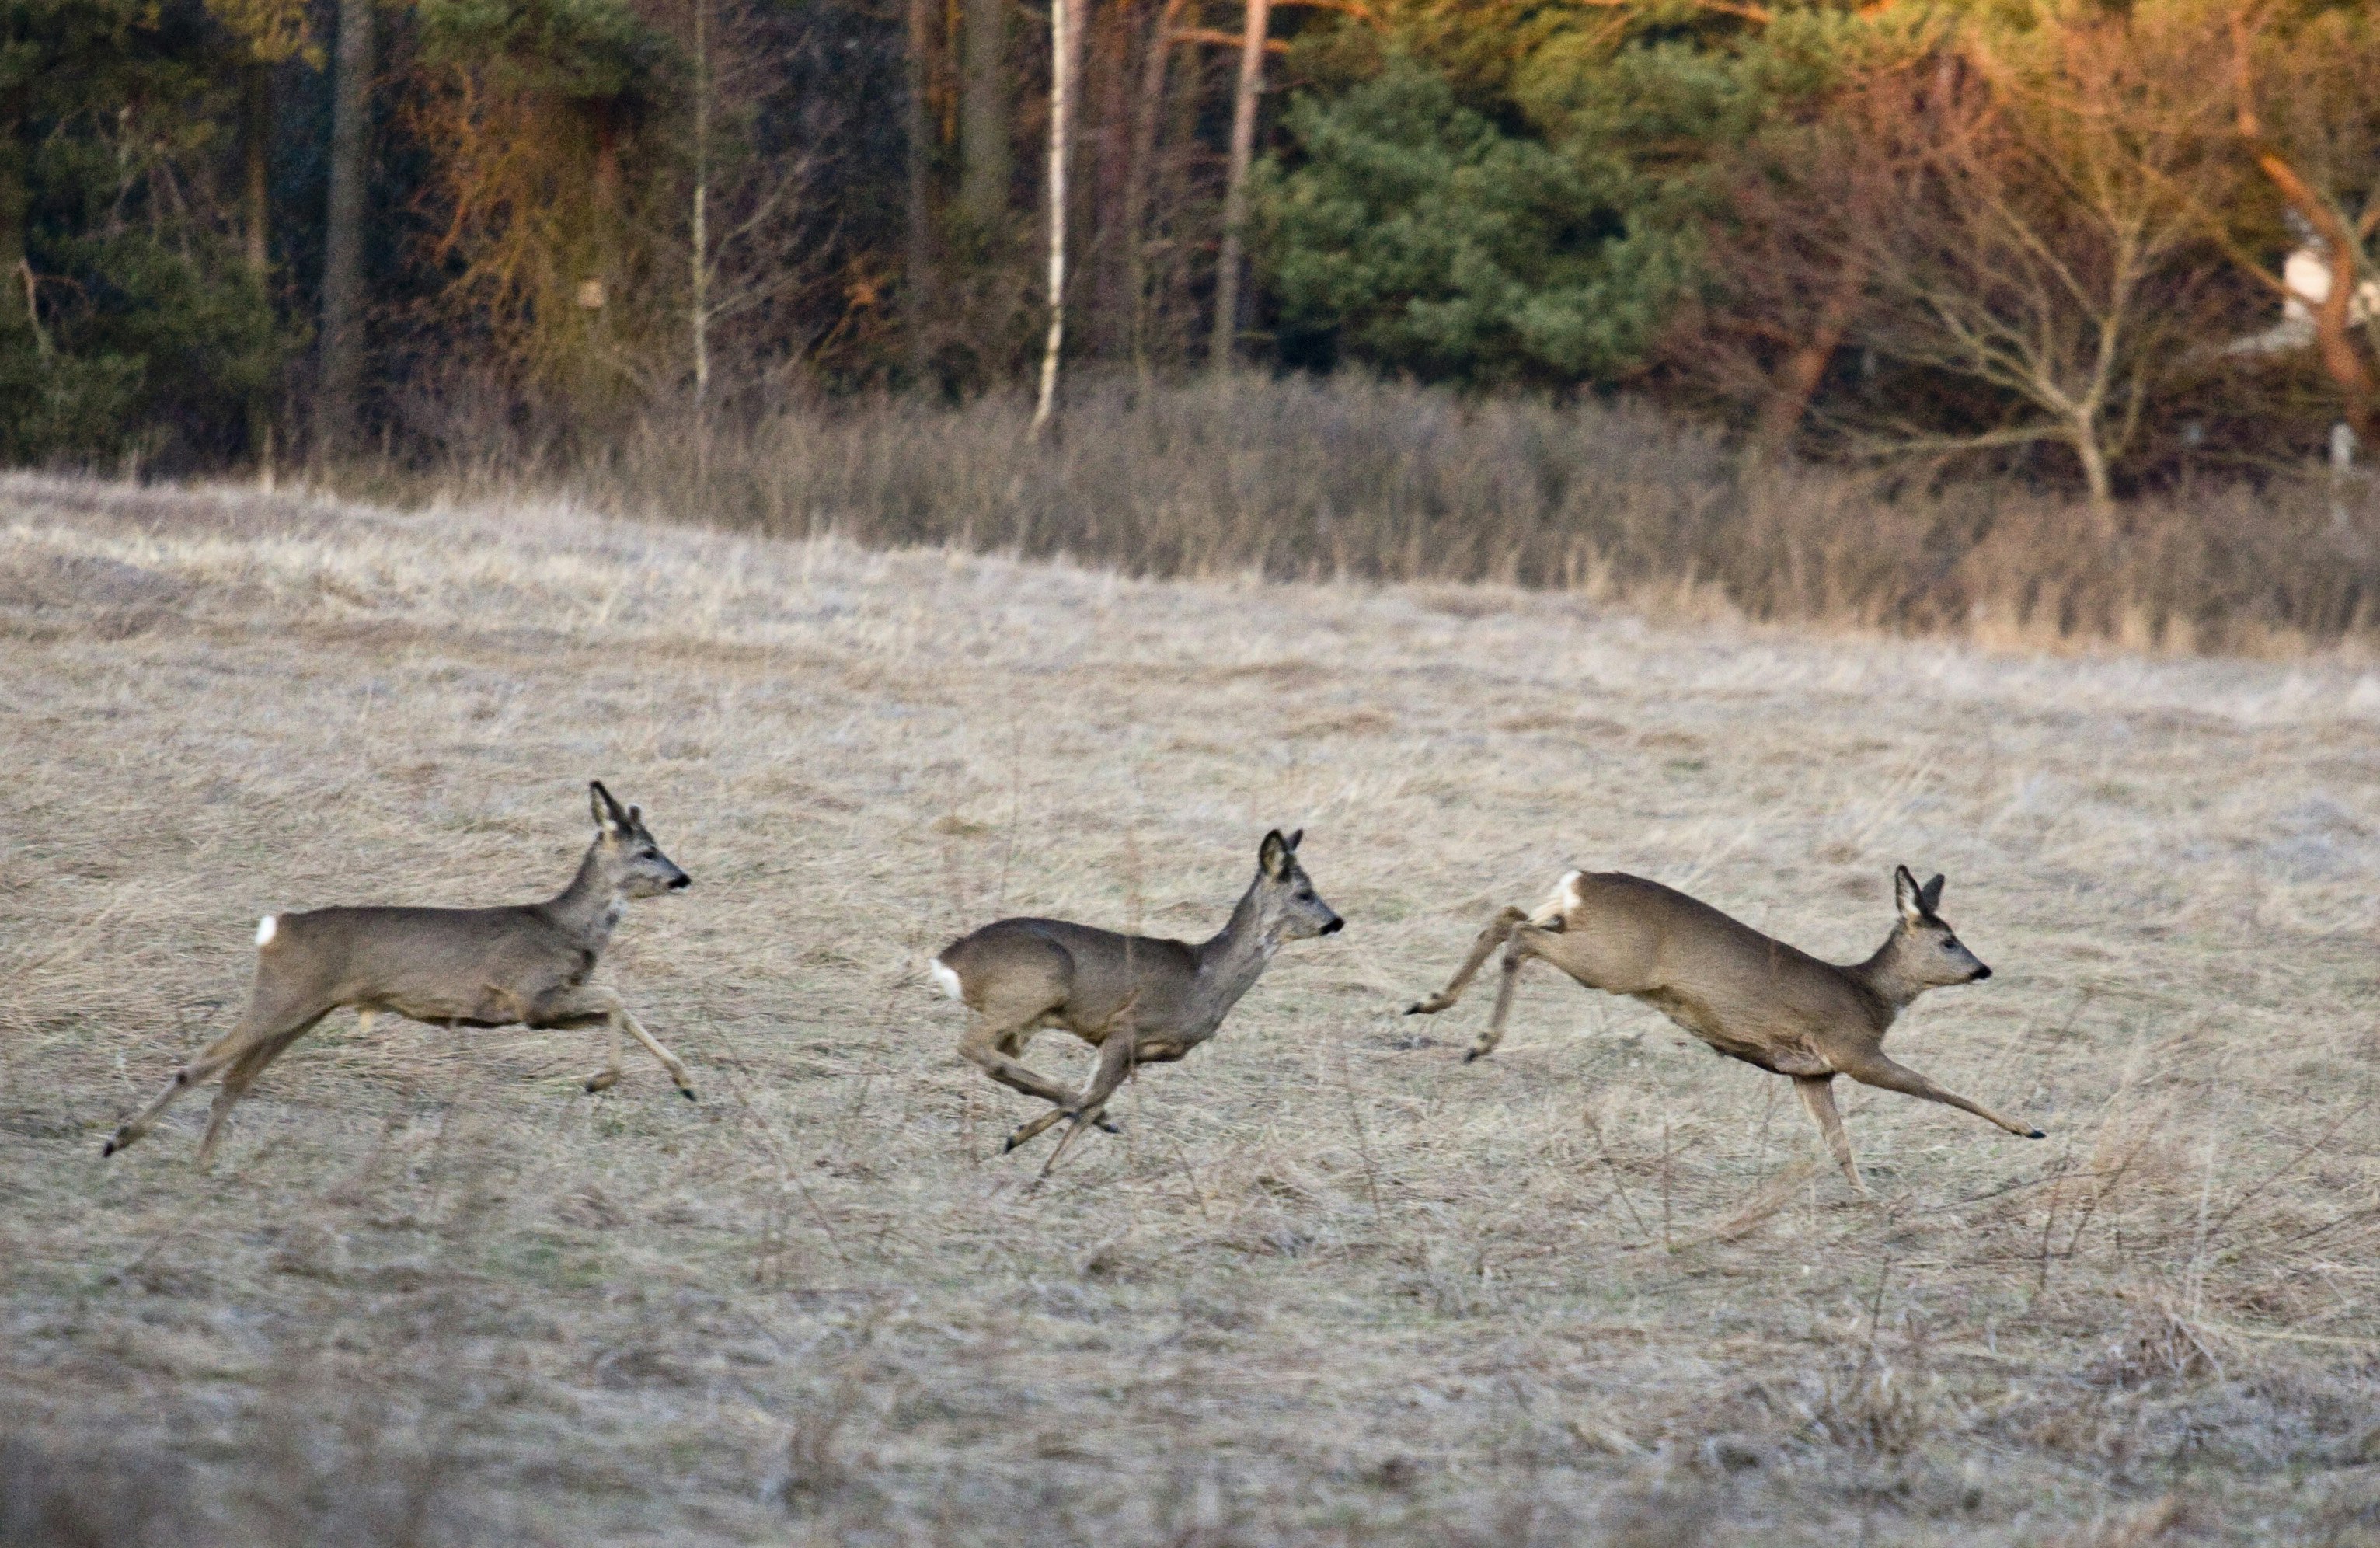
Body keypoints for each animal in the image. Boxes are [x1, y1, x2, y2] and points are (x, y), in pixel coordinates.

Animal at [106, 776, 695, 1162]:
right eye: (648, 851)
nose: (682, 878)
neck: (567, 928)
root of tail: (277, 927)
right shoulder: (529, 997)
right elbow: (617, 998)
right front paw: (603, 1080)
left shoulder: (542, 1011)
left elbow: (618, 1008)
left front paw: (682, 1083)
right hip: (285, 996)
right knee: (202, 1065)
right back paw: (120, 1140)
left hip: (306, 1008)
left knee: (235, 1078)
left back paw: (202, 1164)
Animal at [923, 824, 1342, 1162]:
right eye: (1305, 893)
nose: (1336, 922)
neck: (1205, 977)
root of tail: (949, 960)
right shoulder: (1125, 1028)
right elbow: (1091, 1100)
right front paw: (1037, 1173)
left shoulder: (1139, 1053)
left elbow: (1095, 1097)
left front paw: (1023, 1144)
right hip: (1035, 985)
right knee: (975, 1047)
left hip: (1023, 1021)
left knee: (1000, 1061)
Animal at [1409, 862, 2047, 1186]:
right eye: (1948, 940)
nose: (1983, 969)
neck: (1869, 996)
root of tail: (1578, 879)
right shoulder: (1853, 1051)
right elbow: (1933, 1087)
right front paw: (2028, 1129)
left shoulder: (1809, 1073)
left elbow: (1837, 1140)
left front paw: (1861, 1194)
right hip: (1613, 962)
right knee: (1519, 934)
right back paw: (1479, 1041)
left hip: (1575, 929)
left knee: (1506, 915)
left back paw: (1430, 1005)